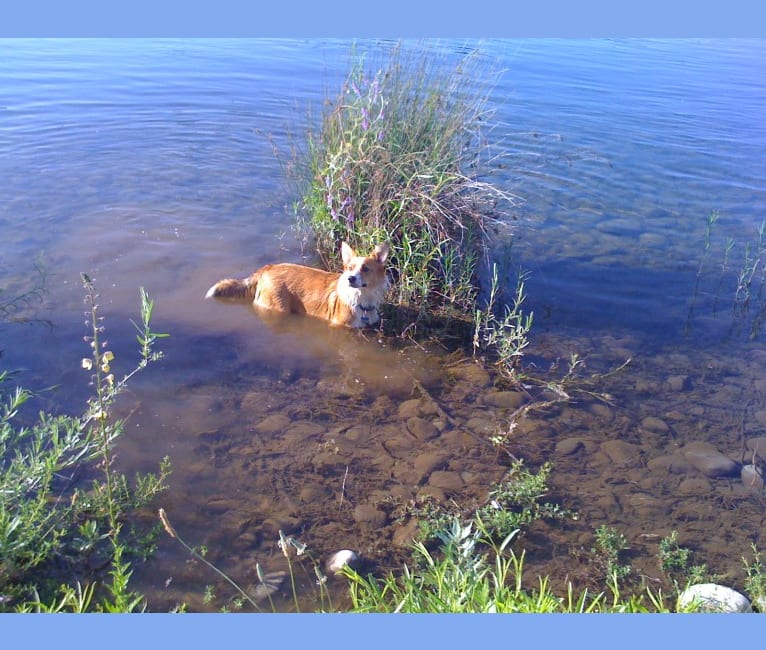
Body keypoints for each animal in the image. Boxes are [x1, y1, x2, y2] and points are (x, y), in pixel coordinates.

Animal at [206, 240, 390, 326]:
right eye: (350, 268)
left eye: (365, 269)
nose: (350, 278)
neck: (361, 299)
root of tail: (267, 268)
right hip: (279, 307)